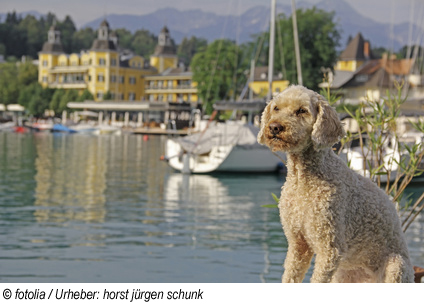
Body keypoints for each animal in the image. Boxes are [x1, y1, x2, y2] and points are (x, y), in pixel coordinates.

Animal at [258, 84, 414, 282]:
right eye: (276, 108)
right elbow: (290, 276)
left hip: (396, 266)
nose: (274, 127)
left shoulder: (329, 248)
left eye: (302, 111)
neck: (303, 181)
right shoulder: (297, 243)